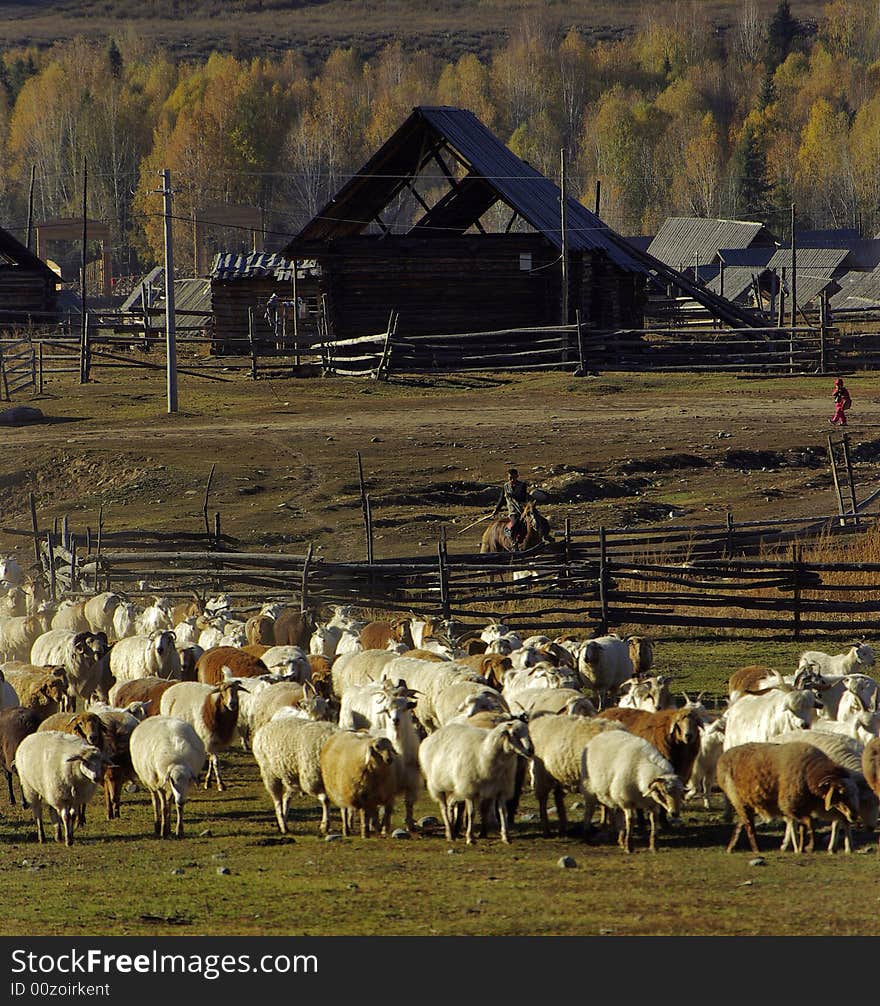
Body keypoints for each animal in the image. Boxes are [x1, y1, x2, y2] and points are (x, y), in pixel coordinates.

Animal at [720, 744, 856, 853]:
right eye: (840, 793)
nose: (853, 816)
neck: (809, 774)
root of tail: (725, 755)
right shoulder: (791, 806)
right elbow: (810, 824)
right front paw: (809, 847)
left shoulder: (803, 808)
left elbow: (803, 827)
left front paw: (801, 849)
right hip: (738, 800)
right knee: (749, 826)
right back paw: (756, 849)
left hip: (747, 802)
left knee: (741, 822)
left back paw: (731, 847)